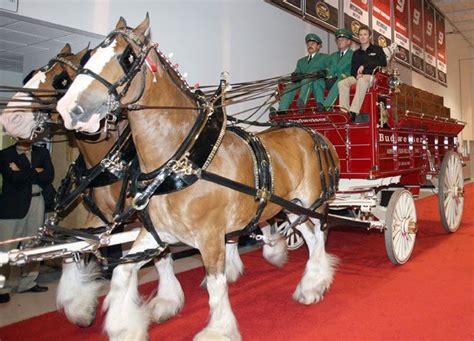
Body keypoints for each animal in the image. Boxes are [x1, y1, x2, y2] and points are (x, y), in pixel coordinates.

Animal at [57, 15, 338, 340]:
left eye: (126, 57)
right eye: (90, 56)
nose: (68, 108)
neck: (182, 160)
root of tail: (314, 133)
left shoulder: (210, 235)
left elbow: (216, 285)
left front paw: (217, 330)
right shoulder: (157, 232)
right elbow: (122, 272)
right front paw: (125, 326)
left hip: (311, 202)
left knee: (319, 237)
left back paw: (314, 282)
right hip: (291, 206)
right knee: (308, 235)